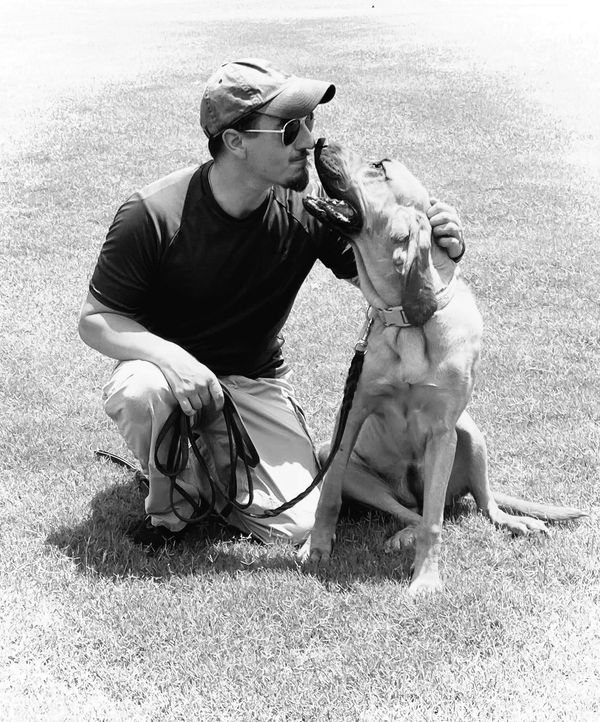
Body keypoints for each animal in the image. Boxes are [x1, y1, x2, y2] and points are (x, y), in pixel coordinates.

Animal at [300, 139, 584, 592]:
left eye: (378, 166)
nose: (320, 141)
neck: (406, 318)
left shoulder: (442, 431)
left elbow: (435, 522)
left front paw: (426, 579)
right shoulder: (352, 415)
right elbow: (328, 496)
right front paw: (317, 546)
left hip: (471, 434)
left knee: (475, 505)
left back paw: (515, 522)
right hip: (345, 458)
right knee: (409, 511)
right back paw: (400, 534)